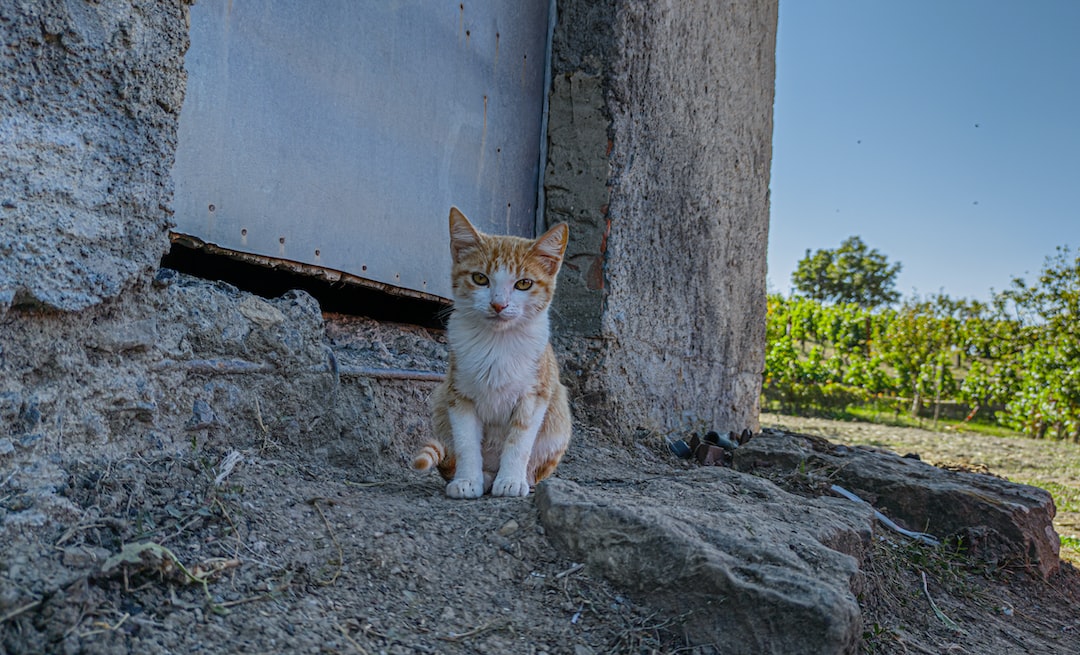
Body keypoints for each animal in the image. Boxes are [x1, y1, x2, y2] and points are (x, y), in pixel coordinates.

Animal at [412, 207, 572, 499]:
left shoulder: (535, 395)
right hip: (440, 400)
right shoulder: (459, 394)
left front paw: (510, 481)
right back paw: (483, 478)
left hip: (558, 414)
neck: (497, 344)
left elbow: (519, 441)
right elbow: (466, 442)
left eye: (524, 283)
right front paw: (467, 481)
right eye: (480, 278)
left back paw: (519, 479)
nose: (499, 304)